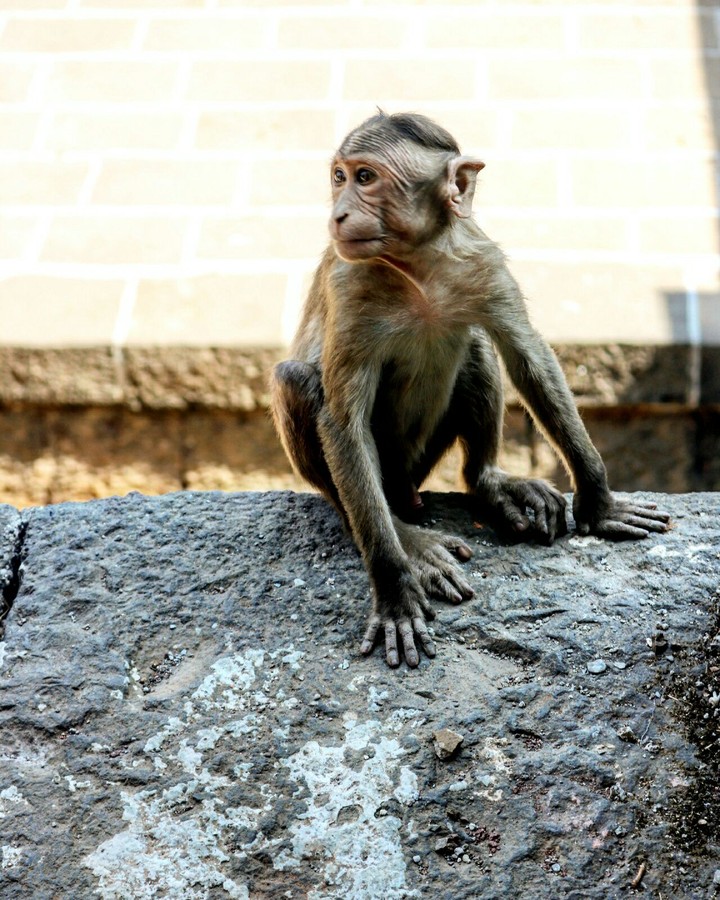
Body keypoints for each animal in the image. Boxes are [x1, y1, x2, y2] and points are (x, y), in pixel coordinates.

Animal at [271, 111, 670, 669]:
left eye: (365, 177)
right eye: (338, 177)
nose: (339, 213)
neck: (417, 265)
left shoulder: (482, 258)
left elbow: (528, 359)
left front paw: (599, 502)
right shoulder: (349, 283)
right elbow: (343, 421)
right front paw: (395, 590)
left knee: (477, 345)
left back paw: (489, 481)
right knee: (298, 383)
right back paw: (405, 536)